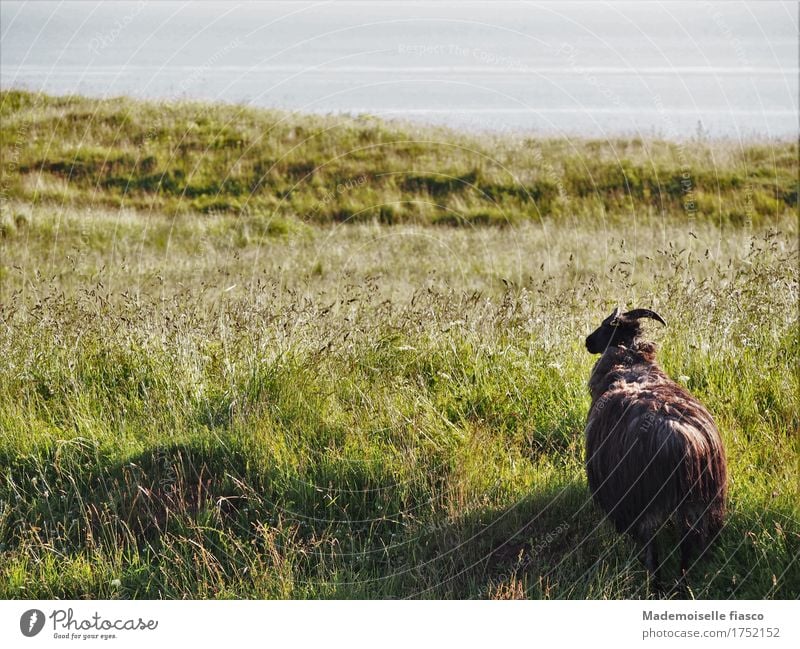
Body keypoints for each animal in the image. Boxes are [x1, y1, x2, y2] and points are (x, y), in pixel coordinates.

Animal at [584, 306, 728, 584]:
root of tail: (685, 442)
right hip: (701, 504)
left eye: (605, 326)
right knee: (689, 544)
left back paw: (656, 582)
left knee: (653, 547)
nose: (587, 342)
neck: (629, 362)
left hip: (645, 500)